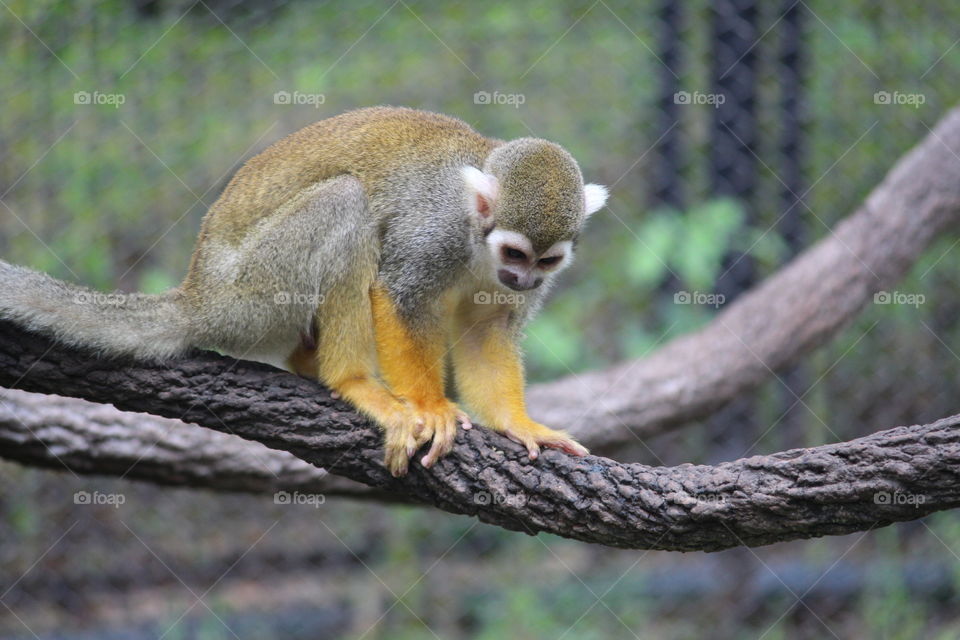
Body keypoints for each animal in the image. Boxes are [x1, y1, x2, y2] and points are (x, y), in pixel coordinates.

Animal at [0, 106, 608, 476]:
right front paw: (431, 406)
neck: (478, 243)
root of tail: (197, 296)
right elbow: (400, 297)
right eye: (515, 254)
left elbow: (487, 330)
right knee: (345, 201)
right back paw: (352, 381)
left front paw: (517, 423)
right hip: (253, 294)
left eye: (547, 261)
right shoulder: (434, 230)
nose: (524, 279)